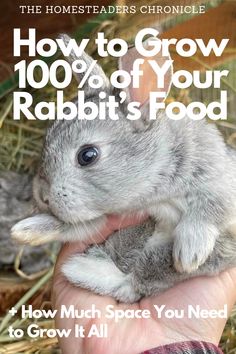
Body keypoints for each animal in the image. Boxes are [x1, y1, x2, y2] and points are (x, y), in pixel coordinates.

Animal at [11, 34, 236, 302]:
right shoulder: (107, 218)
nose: (42, 196)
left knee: (143, 275)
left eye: (87, 155)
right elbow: (76, 227)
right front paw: (26, 230)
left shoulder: (217, 175)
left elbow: (212, 205)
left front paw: (190, 251)